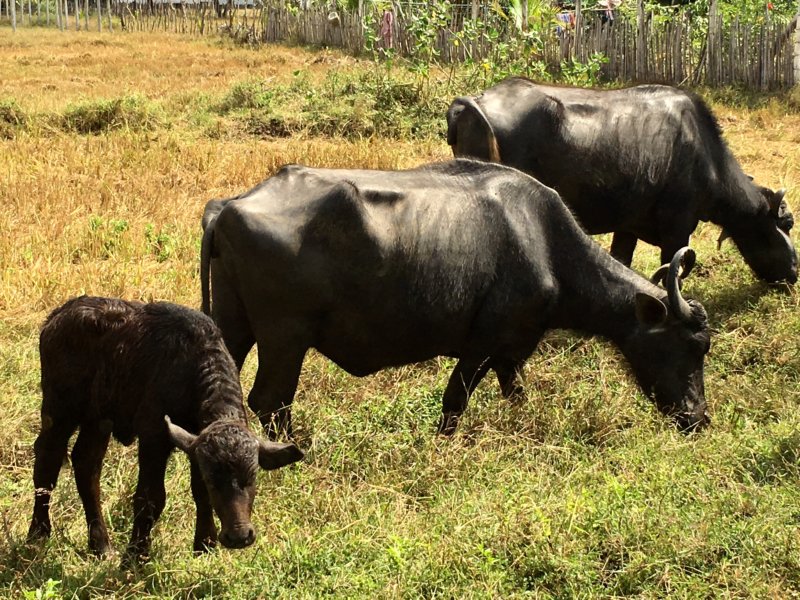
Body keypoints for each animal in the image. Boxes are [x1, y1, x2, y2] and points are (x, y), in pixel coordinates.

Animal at [201, 160, 711, 437]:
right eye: (690, 346)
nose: (698, 417)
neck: (544, 242)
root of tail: (228, 208)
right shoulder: (481, 346)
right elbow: (454, 402)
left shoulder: (509, 353)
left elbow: (516, 394)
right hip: (285, 338)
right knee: (270, 400)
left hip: (232, 328)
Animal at [446, 78, 796, 283]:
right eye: (785, 225)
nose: (793, 273)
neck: (703, 153)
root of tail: (473, 102)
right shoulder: (678, 228)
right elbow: (675, 271)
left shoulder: (627, 227)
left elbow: (622, 262)